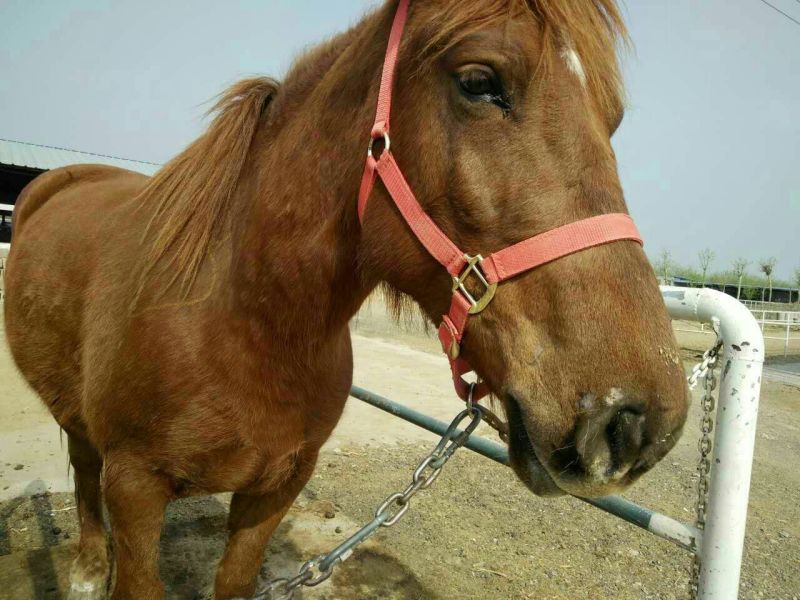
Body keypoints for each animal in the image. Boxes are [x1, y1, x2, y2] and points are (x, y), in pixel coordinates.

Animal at [3, 0, 689, 598]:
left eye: (613, 117)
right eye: (479, 81)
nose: (637, 422)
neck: (242, 325)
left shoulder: (276, 488)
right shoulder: (135, 489)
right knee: (83, 468)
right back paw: (87, 570)